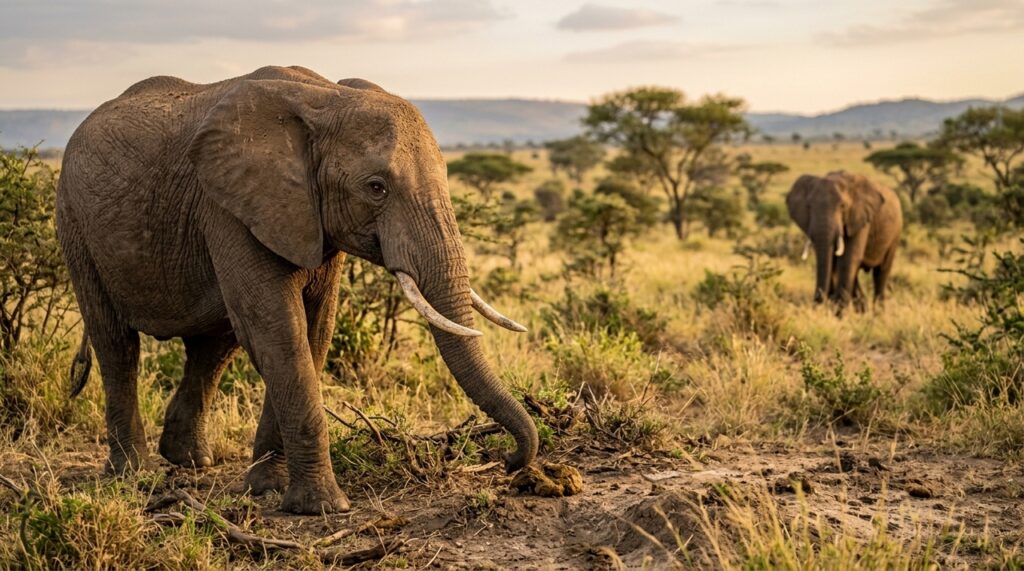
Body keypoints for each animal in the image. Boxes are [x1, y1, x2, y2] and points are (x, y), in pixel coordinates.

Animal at [56, 65, 538, 514]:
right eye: (376, 187)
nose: (509, 461)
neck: (327, 98)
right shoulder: (231, 207)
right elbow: (278, 332)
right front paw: (321, 508)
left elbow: (313, 331)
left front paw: (268, 487)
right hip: (75, 223)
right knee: (117, 345)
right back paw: (131, 473)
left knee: (212, 347)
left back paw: (190, 461)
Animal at [785, 171, 902, 315]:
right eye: (809, 207)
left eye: (843, 206)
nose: (818, 305)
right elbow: (833, 262)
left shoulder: (860, 218)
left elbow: (848, 259)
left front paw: (839, 314)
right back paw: (863, 310)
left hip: (895, 234)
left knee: (881, 272)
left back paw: (878, 314)